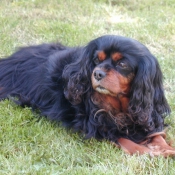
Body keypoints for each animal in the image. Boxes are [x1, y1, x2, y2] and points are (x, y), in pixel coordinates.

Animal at [0, 34, 175, 157]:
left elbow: (157, 135)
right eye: (97, 60)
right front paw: (153, 152)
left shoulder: (147, 114)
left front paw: (167, 148)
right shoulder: (99, 127)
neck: (120, 103)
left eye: (122, 64)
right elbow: (131, 144)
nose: (97, 73)